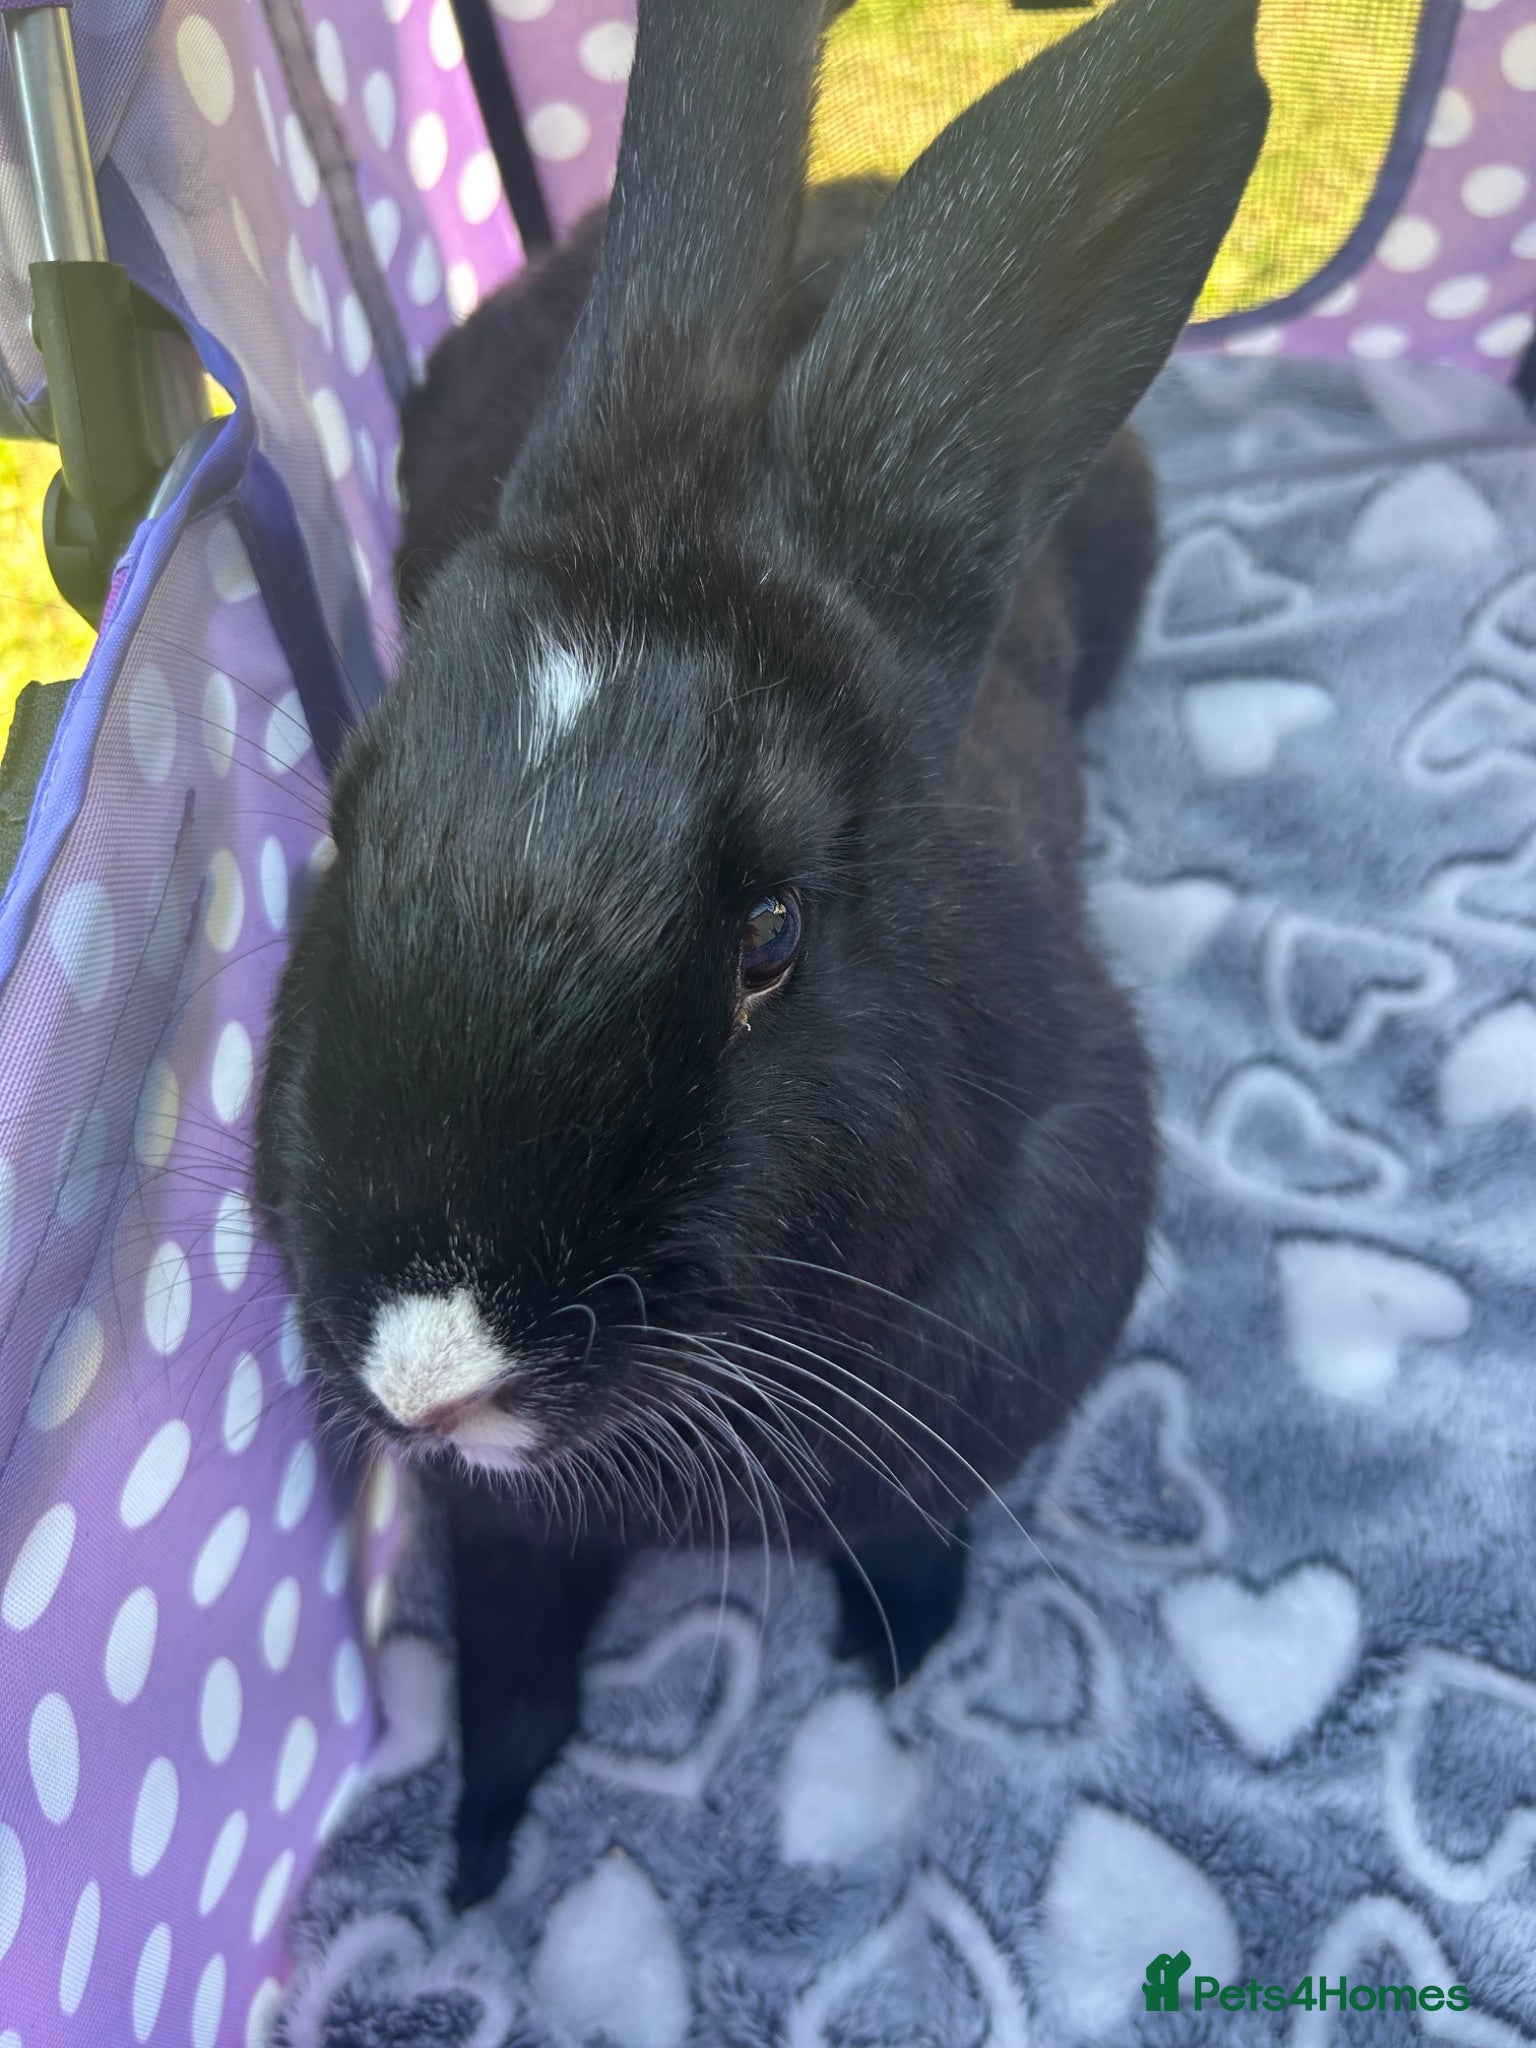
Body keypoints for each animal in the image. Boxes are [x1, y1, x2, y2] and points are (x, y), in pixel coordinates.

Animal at [255, 0, 1269, 1908]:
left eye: (772, 936)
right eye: (346, 823)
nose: (432, 1371)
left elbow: (915, 1539)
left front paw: (896, 1666)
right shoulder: (498, 1541)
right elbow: (510, 1672)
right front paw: (478, 1866)